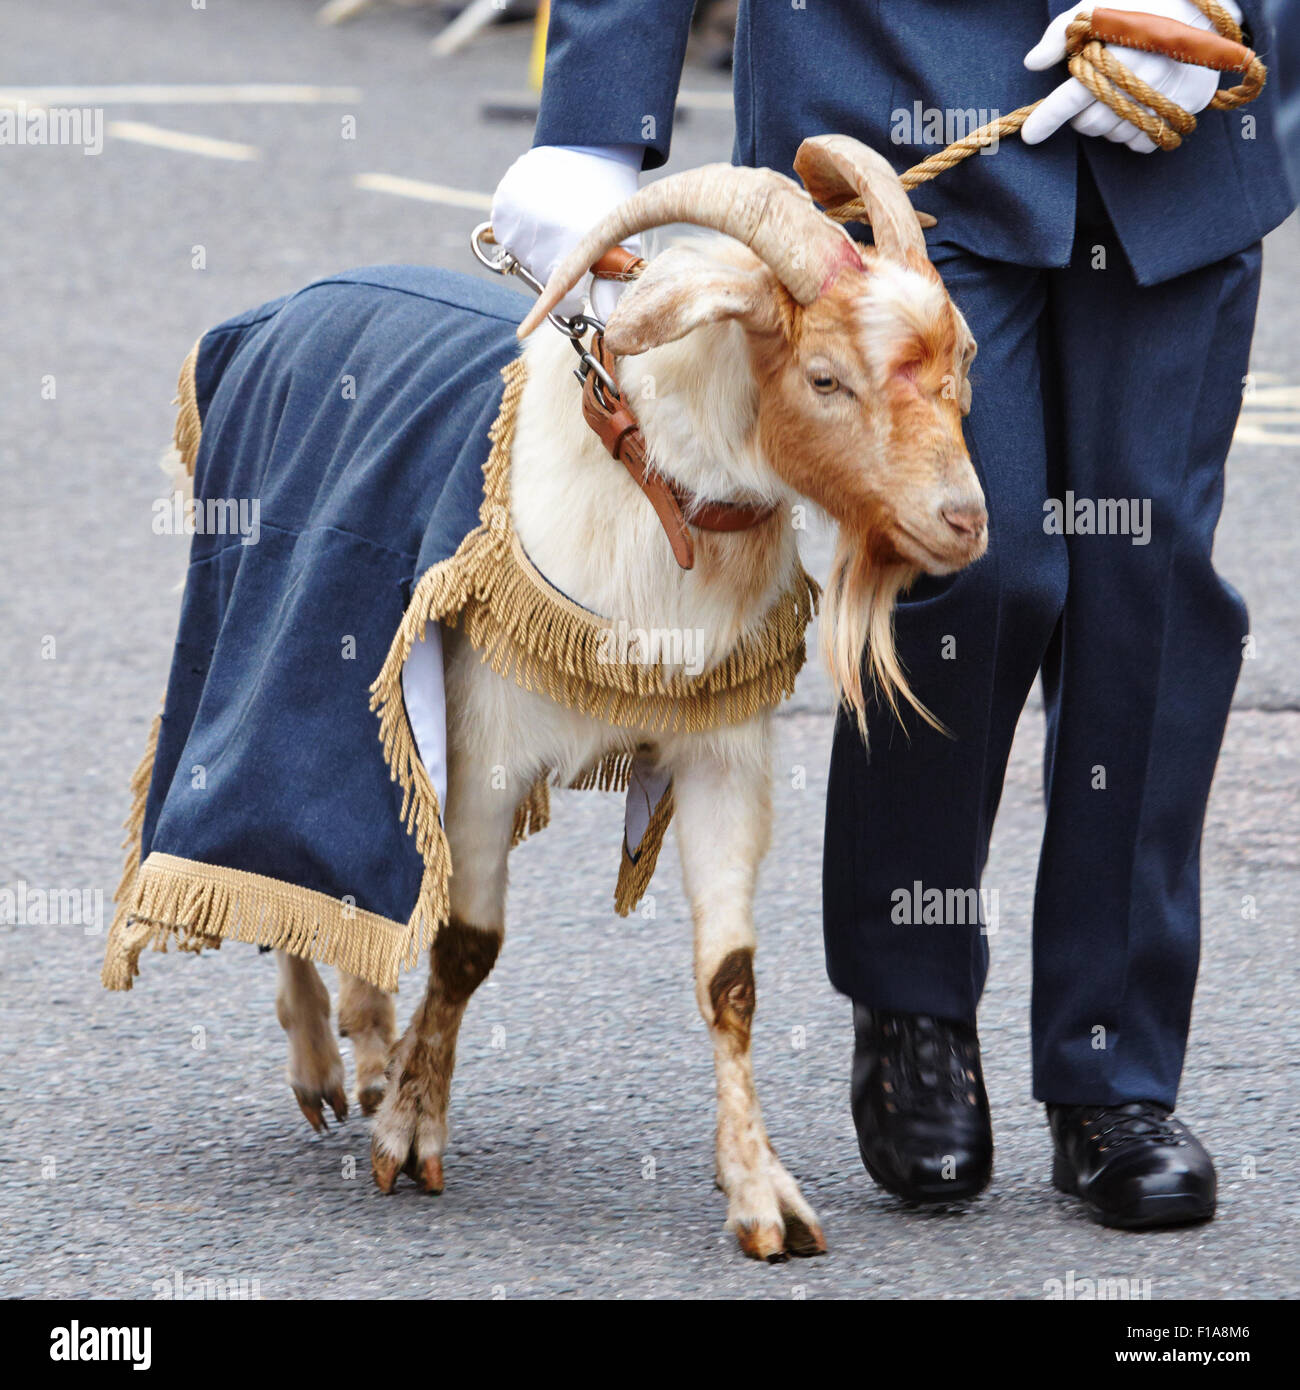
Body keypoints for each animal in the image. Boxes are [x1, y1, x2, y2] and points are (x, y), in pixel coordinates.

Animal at [167, 132, 984, 1262]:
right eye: (826, 377)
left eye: (961, 366)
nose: (963, 520)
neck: (648, 498)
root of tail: (273, 310)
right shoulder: (485, 746)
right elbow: (467, 947)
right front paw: (410, 1138)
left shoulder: (723, 757)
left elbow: (730, 980)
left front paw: (763, 1197)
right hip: (256, 630)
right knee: (267, 830)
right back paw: (324, 1068)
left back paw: (368, 1053)